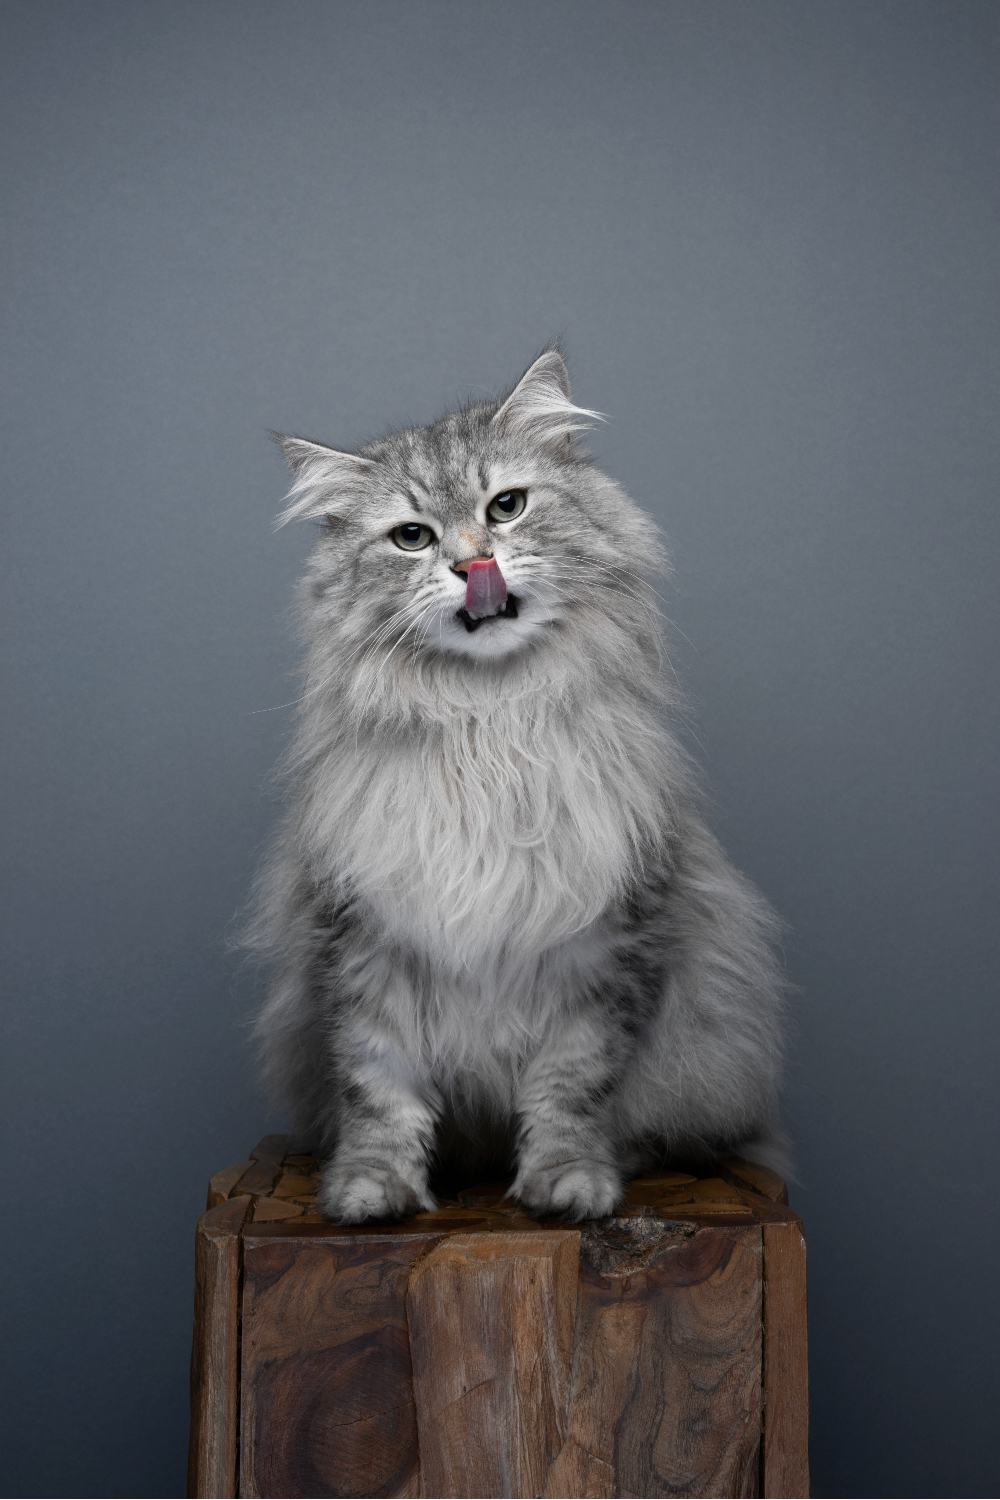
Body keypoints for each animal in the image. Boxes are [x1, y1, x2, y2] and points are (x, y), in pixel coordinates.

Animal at [245, 354, 785, 1230]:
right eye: (412, 537)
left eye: (506, 507)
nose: (474, 566)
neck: (488, 727)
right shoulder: (362, 945)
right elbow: (378, 1092)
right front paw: (371, 1193)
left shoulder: (605, 947)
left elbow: (572, 1088)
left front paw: (568, 1186)